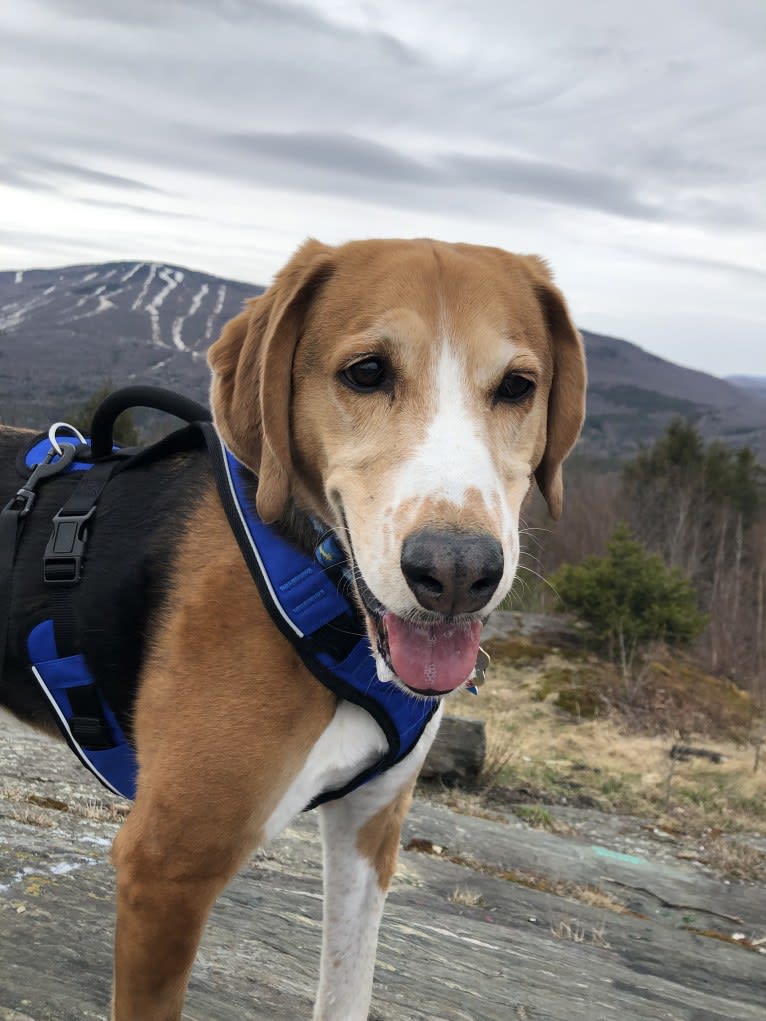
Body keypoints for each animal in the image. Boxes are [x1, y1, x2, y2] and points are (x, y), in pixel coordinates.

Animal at [0, 234, 588, 1016]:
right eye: (366, 372)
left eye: (518, 386)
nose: (458, 573)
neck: (321, 583)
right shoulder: (166, 868)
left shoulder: (370, 828)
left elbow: (347, 988)